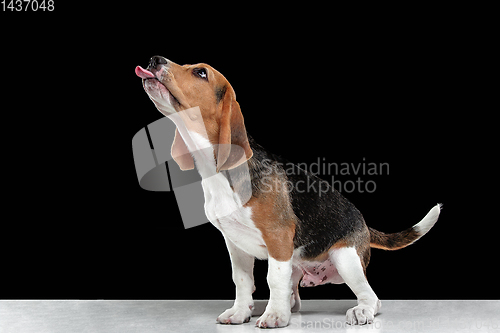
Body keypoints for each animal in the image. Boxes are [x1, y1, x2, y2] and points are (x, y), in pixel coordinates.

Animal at [134, 56, 442, 326]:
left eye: (200, 72)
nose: (153, 60)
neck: (218, 173)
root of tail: (364, 224)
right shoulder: (234, 244)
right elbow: (242, 280)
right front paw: (240, 312)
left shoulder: (278, 238)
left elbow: (273, 278)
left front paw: (274, 317)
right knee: (294, 297)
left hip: (346, 258)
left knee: (372, 297)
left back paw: (359, 310)